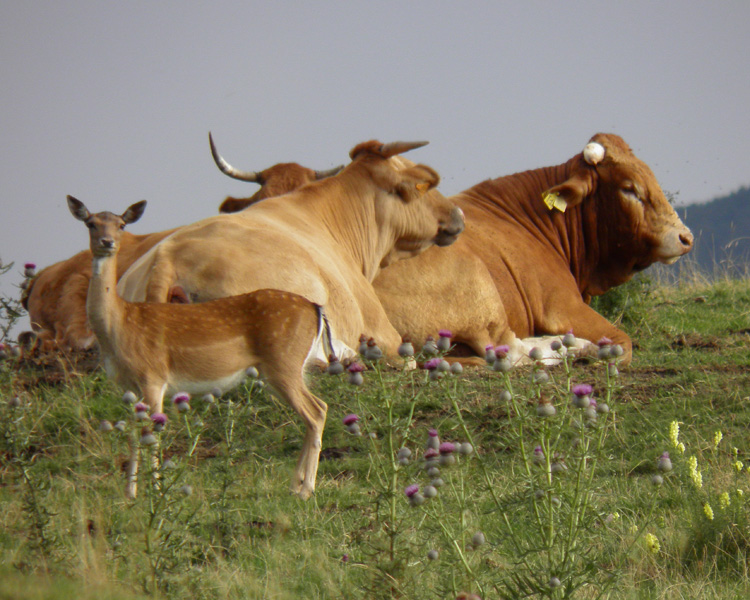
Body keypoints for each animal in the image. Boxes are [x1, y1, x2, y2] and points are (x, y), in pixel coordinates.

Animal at [374, 132, 696, 366]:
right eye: (629, 189)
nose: (685, 237)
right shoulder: (562, 306)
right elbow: (623, 343)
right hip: (477, 285)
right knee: (507, 351)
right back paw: (576, 348)